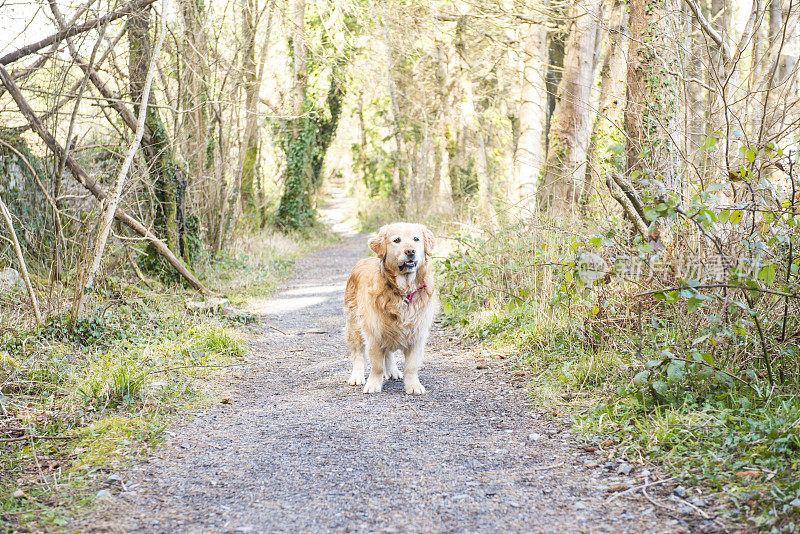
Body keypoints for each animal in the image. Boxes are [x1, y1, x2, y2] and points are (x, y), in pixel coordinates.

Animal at [344, 224, 438, 396]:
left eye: (416, 239)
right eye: (397, 240)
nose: (410, 251)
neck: (404, 290)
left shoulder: (417, 334)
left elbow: (411, 366)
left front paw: (413, 385)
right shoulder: (374, 333)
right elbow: (377, 365)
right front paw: (373, 384)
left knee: (388, 353)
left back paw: (393, 371)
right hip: (354, 324)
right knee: (358, 353)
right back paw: (356, 376)